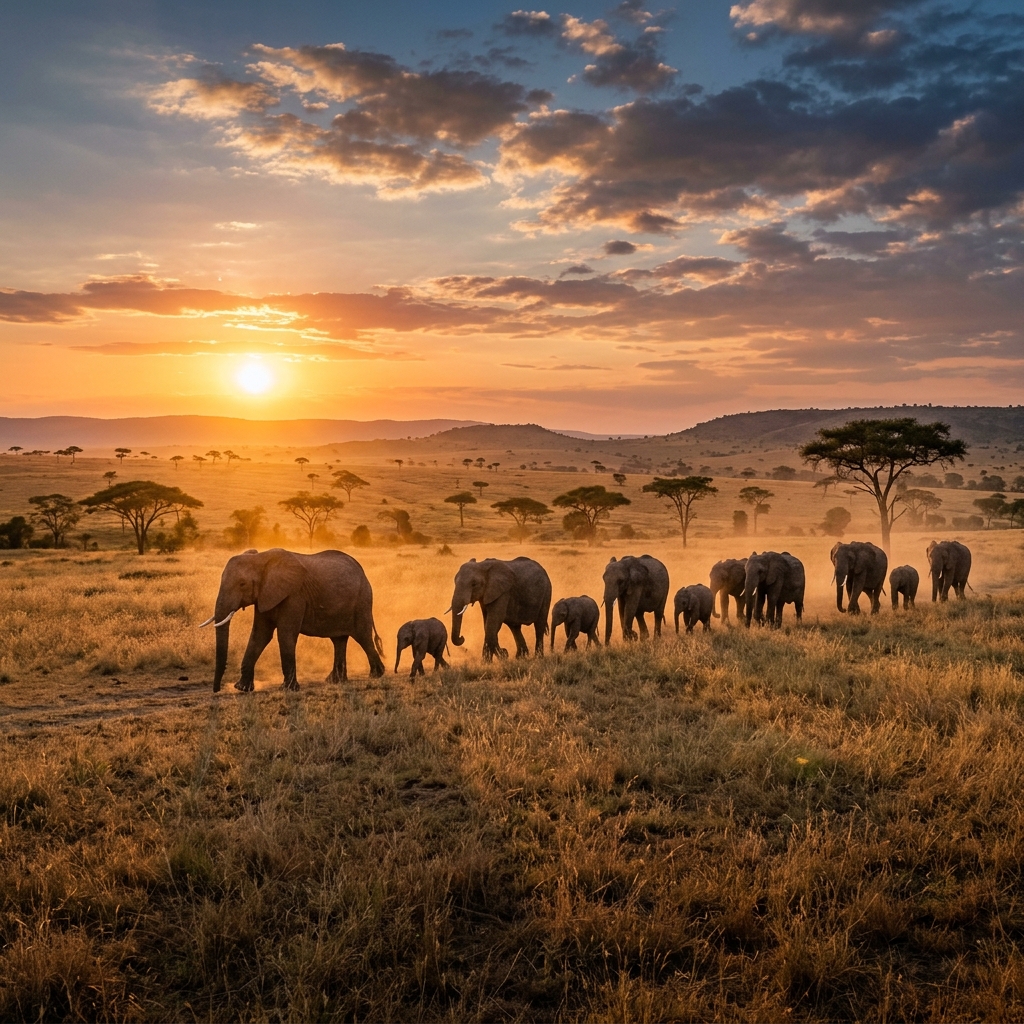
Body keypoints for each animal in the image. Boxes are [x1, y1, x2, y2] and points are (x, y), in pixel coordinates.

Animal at [201, 547, 385, 693]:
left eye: (242, 584)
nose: (216, 690)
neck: (261, 559)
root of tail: (362, 572)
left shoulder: (294, 596)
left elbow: (285, 635)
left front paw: (288, 689)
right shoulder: (264, 596)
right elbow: (259, 635)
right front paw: (242, 688)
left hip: (362, 600)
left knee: (363, 636)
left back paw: (377, 675)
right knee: (338, 640)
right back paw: (335, 681)